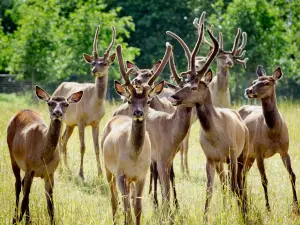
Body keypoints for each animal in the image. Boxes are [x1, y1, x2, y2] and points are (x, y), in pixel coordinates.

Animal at [7, 85, 82, 224]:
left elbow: (50, 206)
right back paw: (15, 218)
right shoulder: (30, 168)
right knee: (18, 185)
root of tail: (21, 111)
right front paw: (18, 219)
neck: (43, 155)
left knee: (22, 185)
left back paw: (28, 220)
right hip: (13, 156)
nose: (57, 113)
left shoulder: (50, 173)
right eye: (50, 103)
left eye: (66, 104)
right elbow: (25, 200)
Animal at [53, 24, 116, 179]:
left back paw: (67, 169)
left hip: (70, 124)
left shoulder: (96, 122)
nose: (94, 70)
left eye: (105, 63)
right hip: (61, 118)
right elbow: (82, 147)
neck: (93, 104)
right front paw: (81, 174)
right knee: (59, 141)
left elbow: (97, 147)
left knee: (63, 141)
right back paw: (61, 170)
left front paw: (99, 173)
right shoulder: (81, 120)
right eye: (93, 62)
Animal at [101, 43, 170, 224]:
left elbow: (137, 208)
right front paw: (126, 220)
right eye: (130, 100)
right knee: (113, 200)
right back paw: (114, 219)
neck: (134, 157)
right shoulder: (120, 173)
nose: (138, 112)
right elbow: (126, 207)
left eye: (147, 101)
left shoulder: (141, 175)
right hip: (107, 168)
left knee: (129, 200)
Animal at [238, 66, 298, 212]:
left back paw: (246, 201)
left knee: (243, 175)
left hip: (250, 156)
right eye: (254, 81)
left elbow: (292, 175)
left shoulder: (285, 150)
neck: (272, 132)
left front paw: (295, 205)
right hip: (243, 151)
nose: (248, 90)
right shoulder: (259, 152)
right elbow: (264, 180)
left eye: (266, 82)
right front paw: (268, 208)